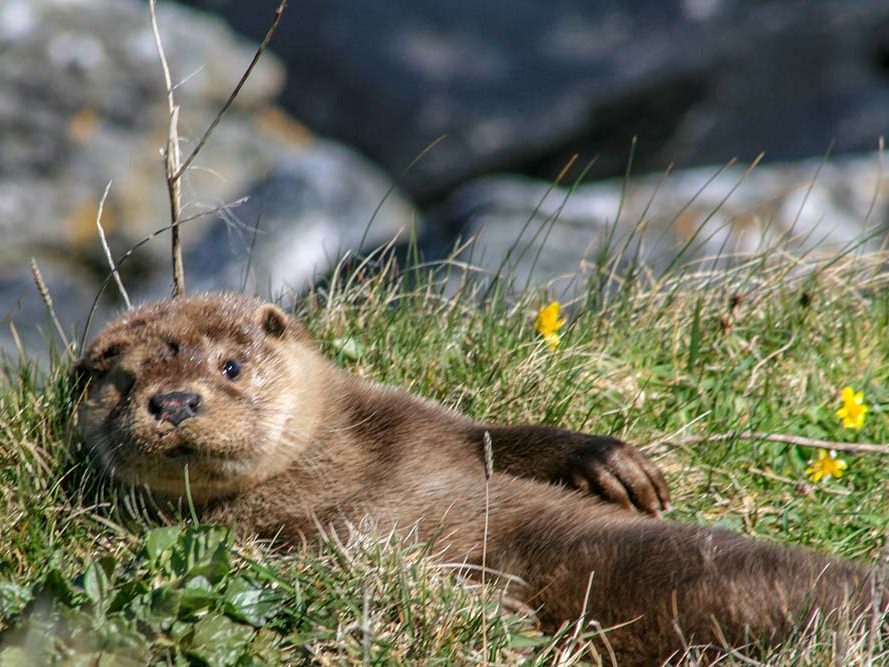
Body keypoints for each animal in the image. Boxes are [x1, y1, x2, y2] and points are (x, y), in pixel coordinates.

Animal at [74, 293, 885, 665]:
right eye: (122, 381)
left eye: (231, 365)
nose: (174, 401)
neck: (326, 466)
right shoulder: (280, 538)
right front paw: (494, 607)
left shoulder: (416, 422)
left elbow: (496, 439)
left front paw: (610, 463)